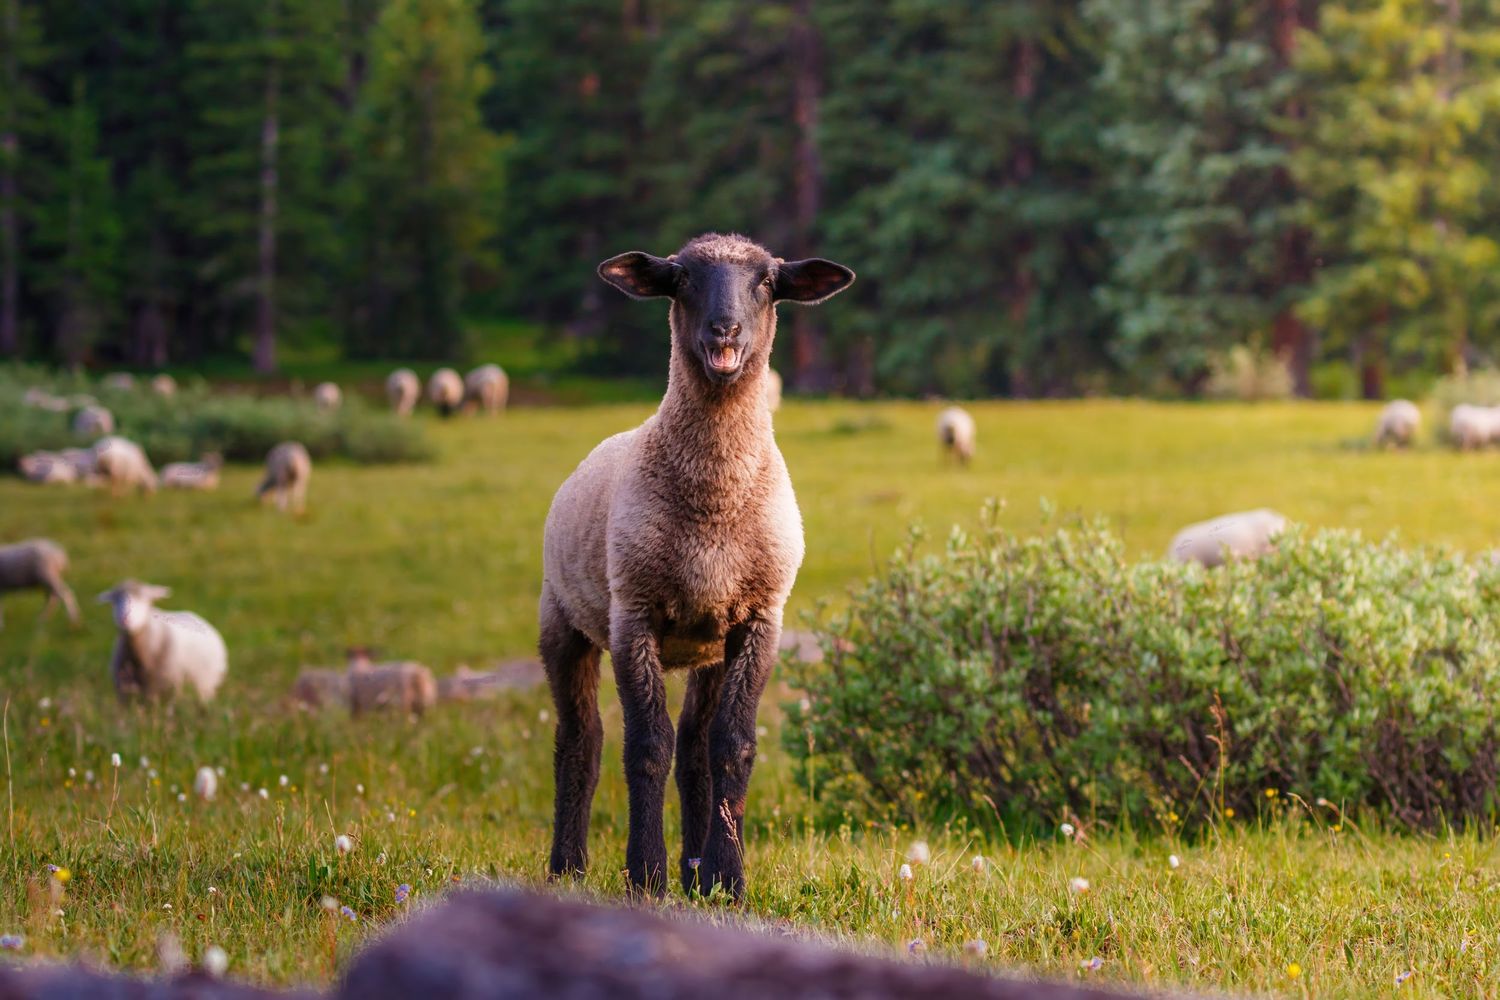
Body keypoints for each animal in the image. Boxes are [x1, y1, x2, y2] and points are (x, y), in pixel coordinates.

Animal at [540, 232, 854, 899]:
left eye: (767, 282)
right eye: (681, 278)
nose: (724, 331)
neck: (714, 508)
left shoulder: (759, 617)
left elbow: (730, 748)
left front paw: (726, 880)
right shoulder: (633, 614)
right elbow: (645, 747)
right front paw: (645, 874)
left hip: (709, 644)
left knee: (694, 750)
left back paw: (695, 872)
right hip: (562, 621)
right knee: (581, 740)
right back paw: (568, 867)